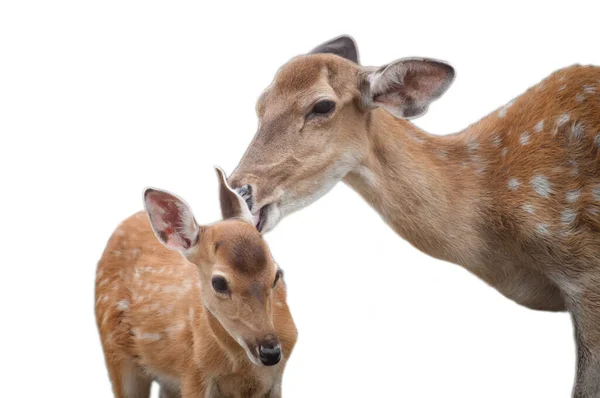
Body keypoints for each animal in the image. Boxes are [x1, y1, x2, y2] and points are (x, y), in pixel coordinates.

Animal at [95, 169, 298, 398]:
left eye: (277, 274)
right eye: (218, 283)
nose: (270, 352)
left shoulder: (276, 378)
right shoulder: (194, 371)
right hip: (115, 350)